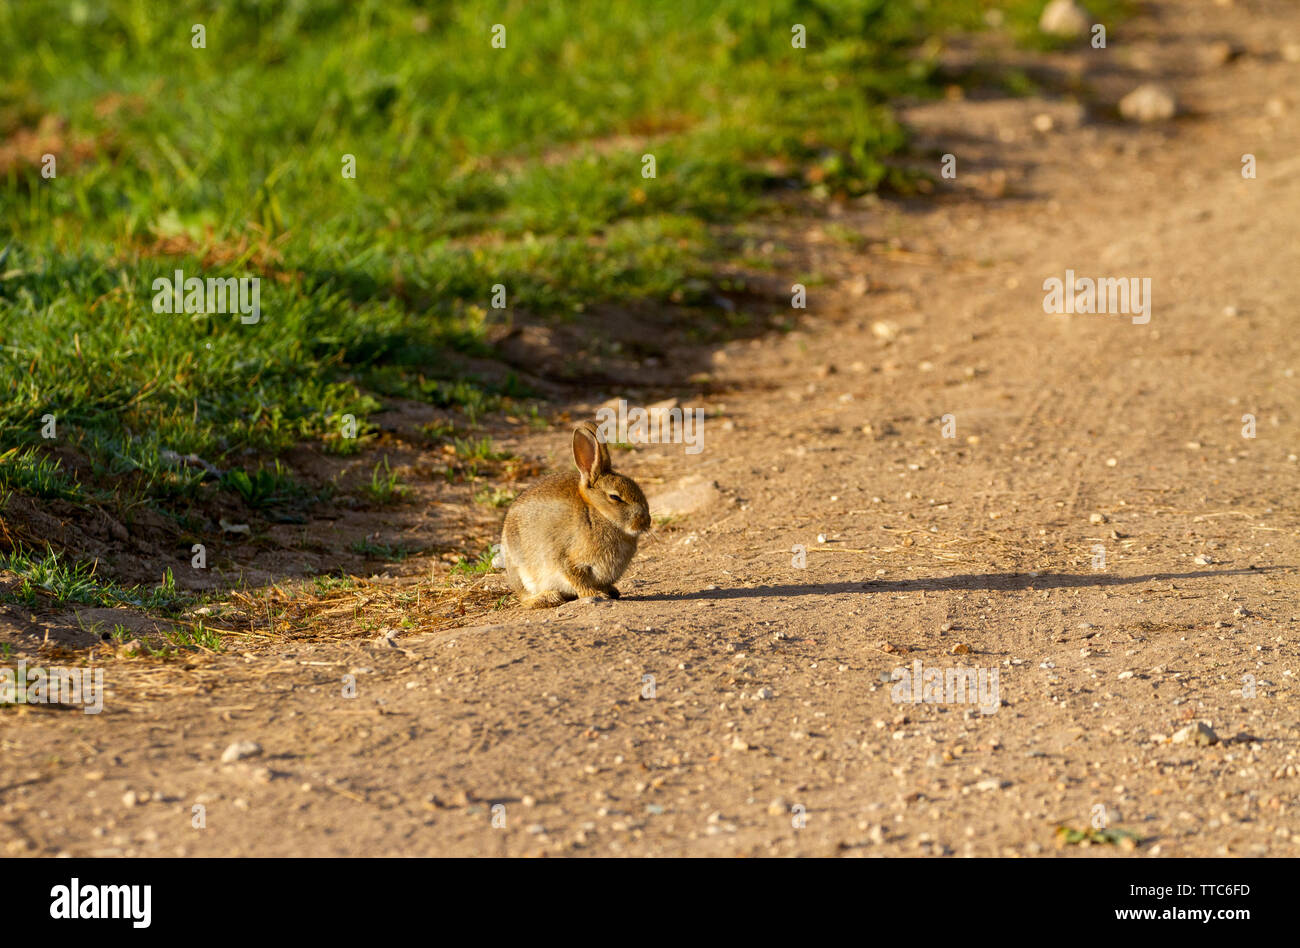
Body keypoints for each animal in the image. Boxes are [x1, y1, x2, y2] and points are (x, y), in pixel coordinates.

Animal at [501, 418, 655, 605]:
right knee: (525, 598)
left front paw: (609, 591)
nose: (645, 522)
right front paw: (593, 594)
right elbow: (576, 578)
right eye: (615, 497)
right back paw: (549, 597)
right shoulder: (566, 559)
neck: (598, 514)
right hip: (521, 570)